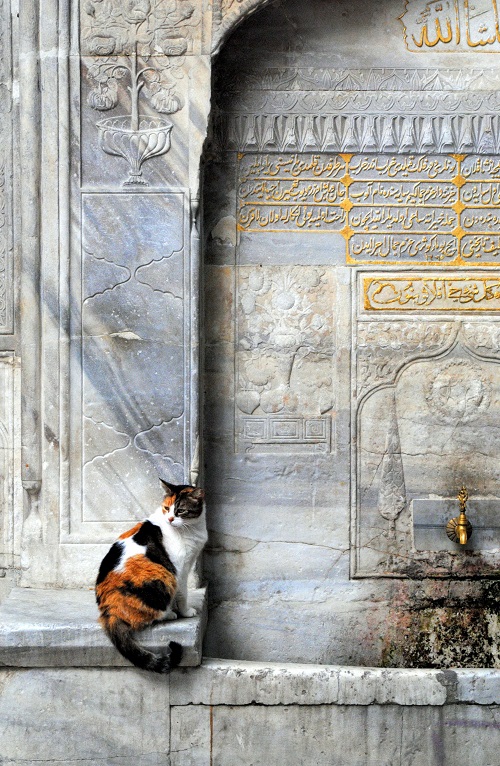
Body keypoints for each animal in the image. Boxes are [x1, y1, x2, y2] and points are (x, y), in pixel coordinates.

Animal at [95, 484, 207, 676]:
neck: (192, 528)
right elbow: (183, 594)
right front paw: (185, 611)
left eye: (180, 510)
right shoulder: (180, 569)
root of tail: (108, 610)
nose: (170, 519)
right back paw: (169, 614)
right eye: (166, 508)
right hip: (164, 576)